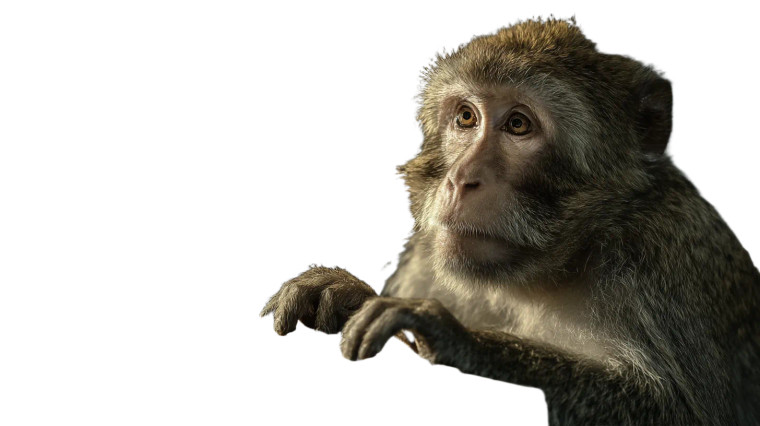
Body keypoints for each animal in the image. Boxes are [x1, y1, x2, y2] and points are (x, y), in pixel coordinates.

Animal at [260, 18, 760, 425]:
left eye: (519, 125)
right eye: (466, 117)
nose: (461, 179)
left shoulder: (660, 261)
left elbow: (677, 411)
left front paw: (460, 340)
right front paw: (344, 293)